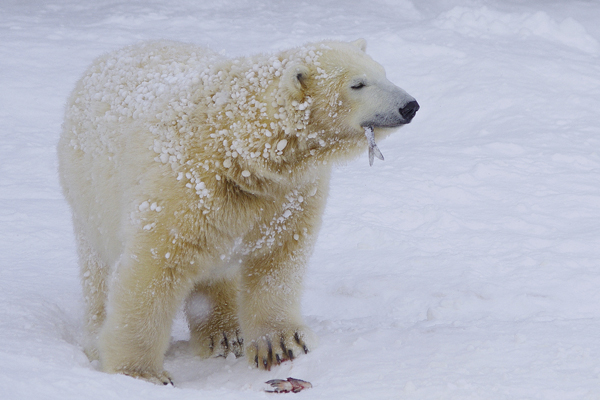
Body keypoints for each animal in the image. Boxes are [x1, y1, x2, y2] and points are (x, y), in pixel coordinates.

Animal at [58, 38, 420, 384]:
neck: (238, 146)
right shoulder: (185, 185)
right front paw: (139, 373)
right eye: (358, 84)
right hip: (89, 195)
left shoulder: (290, 194)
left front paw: (283, 344)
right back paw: (97, 338)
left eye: (383, 72)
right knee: (98, 268)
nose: (410, 106)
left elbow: (278, 258)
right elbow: (154, 268)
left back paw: (224, 334)